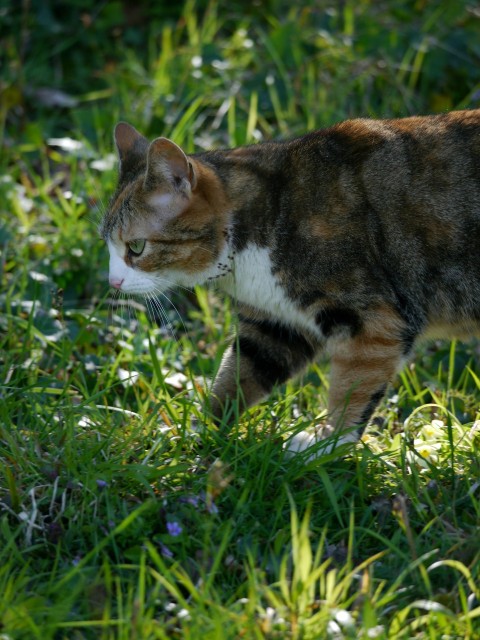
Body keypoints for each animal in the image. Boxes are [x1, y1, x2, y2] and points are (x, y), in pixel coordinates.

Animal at [100, 110, 480, 456]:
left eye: (136, 247)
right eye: (106, 244)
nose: (112, 282)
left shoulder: (374, 322)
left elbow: (352, 388)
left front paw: (327, 445)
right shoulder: (275, 323)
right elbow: (238, 373)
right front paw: (200, 433)